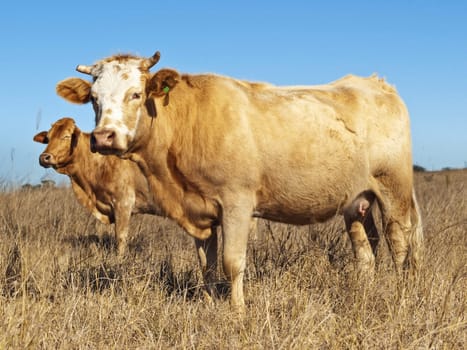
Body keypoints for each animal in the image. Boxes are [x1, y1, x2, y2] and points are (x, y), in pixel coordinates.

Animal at [55, 51, 424, 308]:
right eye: (94, 99)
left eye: (135, 94)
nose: (103, 137)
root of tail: (376, 83)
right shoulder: (200, 211)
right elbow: (206, 264)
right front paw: (207, 303)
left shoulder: (237, 203)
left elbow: (232, 263)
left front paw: (238, 311)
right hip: (357, 200)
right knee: (366, 249)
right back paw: (364, 292)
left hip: (393, 190)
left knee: (400, 244)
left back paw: (402, 295)